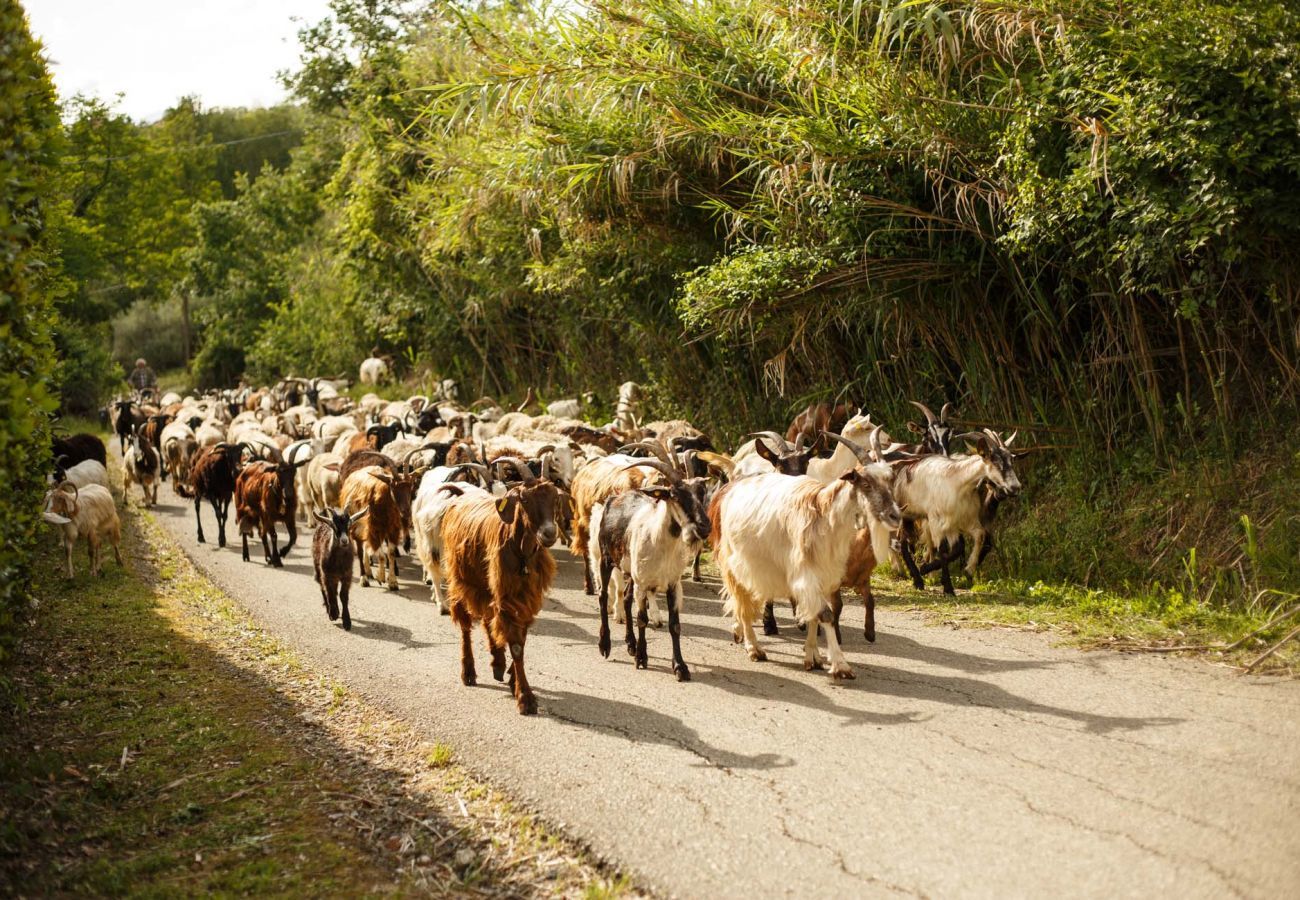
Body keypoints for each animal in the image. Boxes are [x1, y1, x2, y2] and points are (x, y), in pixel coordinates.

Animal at [441, 460, 559, 712]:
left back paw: (497, 661)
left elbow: (521, 638)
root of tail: (461, 497)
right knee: (465, 624)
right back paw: (468, 672)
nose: (549, 533)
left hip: (486, 586)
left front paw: (514, 680)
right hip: (460, 579)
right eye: (524, 499)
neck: (522, 554)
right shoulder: (507, 594)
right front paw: (525, 697)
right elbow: (516, 645)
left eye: (555, 497)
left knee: (487, 617)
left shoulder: (526, 596)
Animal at [592, 460, 712, 676]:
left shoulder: (673, 584)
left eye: (701, 492)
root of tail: (613, 498)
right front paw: (641, 658)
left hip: (631, 572)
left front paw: (680, 667)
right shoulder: (643, 583)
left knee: (626, 598)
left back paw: (630, 643)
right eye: (675, 495)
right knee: (603, 596)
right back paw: (605, 644)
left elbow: (675, 625)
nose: (704, 527)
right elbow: (642, 619)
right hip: (606, 559)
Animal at [712, 431, 904, 676]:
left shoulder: (824, 574)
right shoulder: (805, 574)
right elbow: (826, 614)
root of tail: (730, 489)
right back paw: (753, 647)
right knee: (741, 600)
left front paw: (813, 656)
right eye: (865, 483)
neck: (823, 516)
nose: (895, 516)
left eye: (890, 481)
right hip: (735, 561)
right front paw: (840, 665)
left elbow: (816, 614)